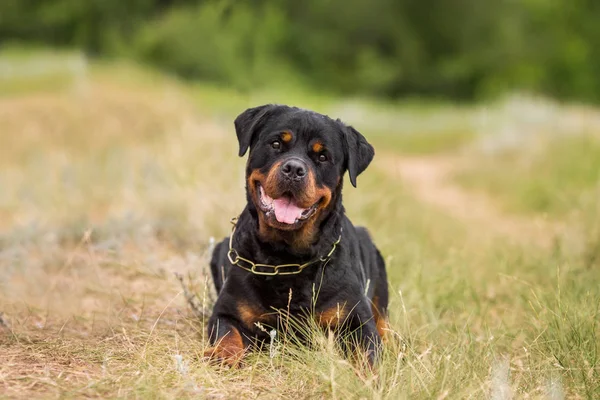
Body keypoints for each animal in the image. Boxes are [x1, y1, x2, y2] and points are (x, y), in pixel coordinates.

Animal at [206, 104, 390, 368]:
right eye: (275, 144)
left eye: (322, 157)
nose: (294, 169)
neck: (286, 257)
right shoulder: (227, 311)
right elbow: (228, 334)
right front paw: (222, 356)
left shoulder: (358, 320)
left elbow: (368, 354)